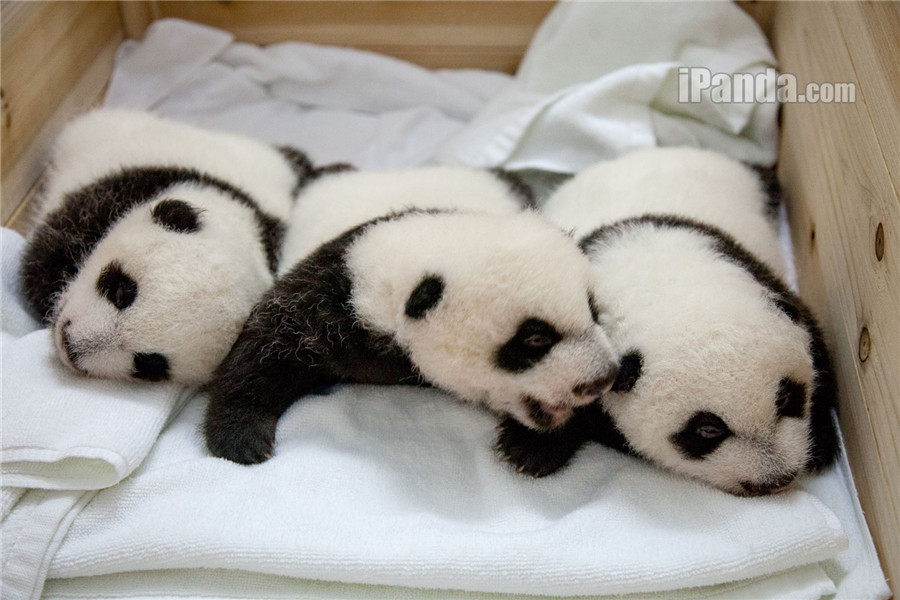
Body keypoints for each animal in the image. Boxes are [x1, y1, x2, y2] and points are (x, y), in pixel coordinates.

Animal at [204, 207, 620, 465]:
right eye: (535, 339)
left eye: (592, 311)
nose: (603, 379)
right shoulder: (329, 297)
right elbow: (267, 343)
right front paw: (240, 436)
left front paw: (531, 447)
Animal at [495, 147, 840, 497]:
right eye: (708, 430)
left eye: (786, 398)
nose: (774, 479)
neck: (661, 277)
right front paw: (530, 448)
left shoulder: (760, 274)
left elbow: (817, 347)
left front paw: (821, 442)